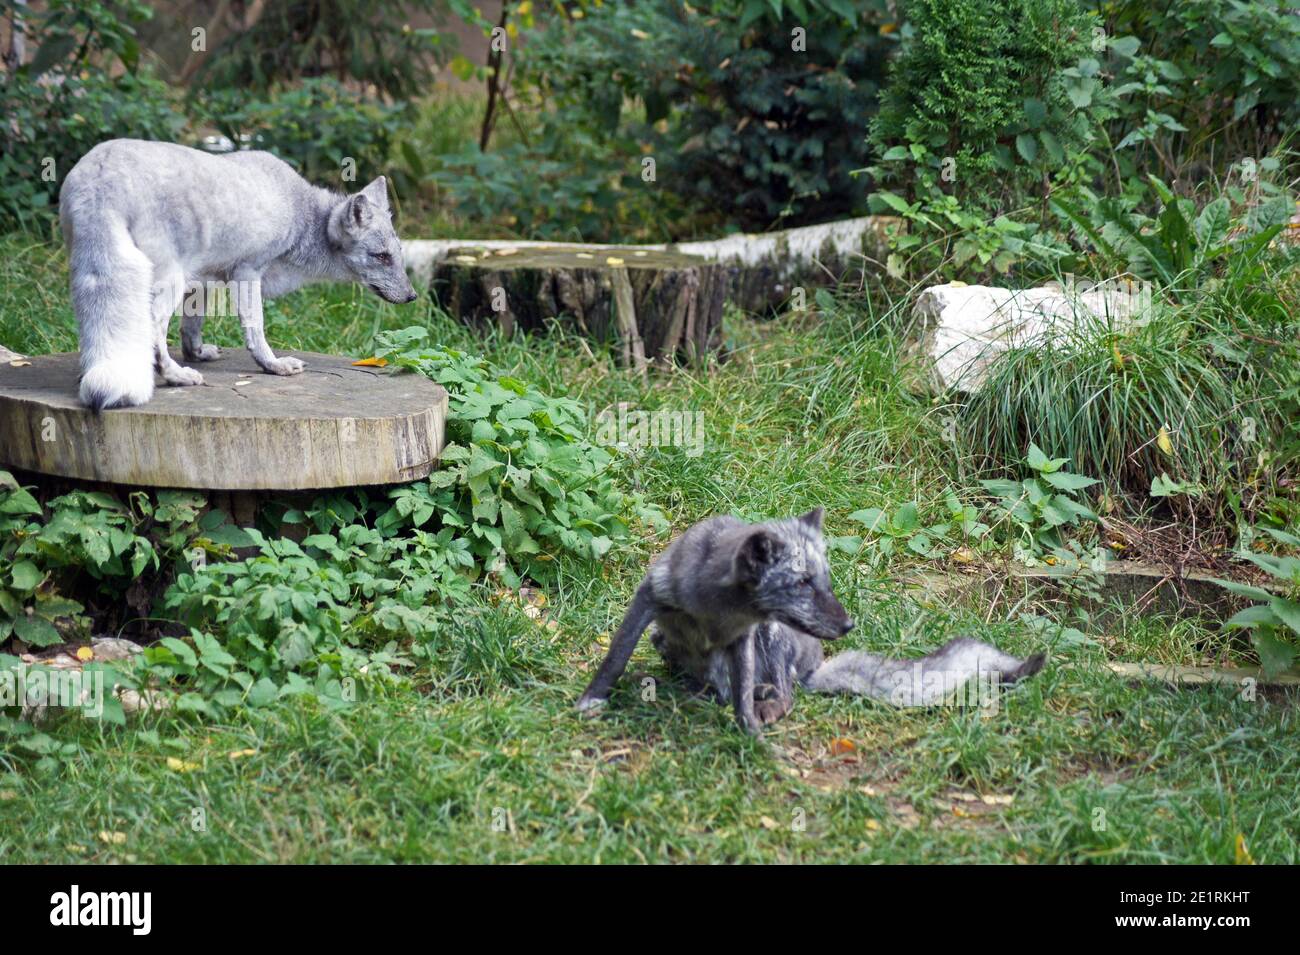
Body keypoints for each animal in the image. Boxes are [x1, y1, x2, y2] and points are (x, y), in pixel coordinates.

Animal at [59, 140, 416, 407]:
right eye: (381, 257)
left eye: (397, 255)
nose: (412, 296)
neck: (301, 217)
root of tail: (101, 179)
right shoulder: (247, 271)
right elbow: (255, 329)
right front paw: (273, 365)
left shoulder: (201, 278)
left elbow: (191, 327)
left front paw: (197, 353)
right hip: (167, 282)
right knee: (153, 332)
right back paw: (176, 376)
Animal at [579, 511, 1045, 738]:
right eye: (802, 583)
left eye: (825, 581)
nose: (849, 625)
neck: (717, 610)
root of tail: (814, 666)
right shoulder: (650, 598)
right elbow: (615, 657)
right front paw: (593, 698)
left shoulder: (743, 637)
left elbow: (741, 699)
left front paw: (750, 733)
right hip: (663, 640)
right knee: (721, 687)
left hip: (771, 641)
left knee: (780, 694)